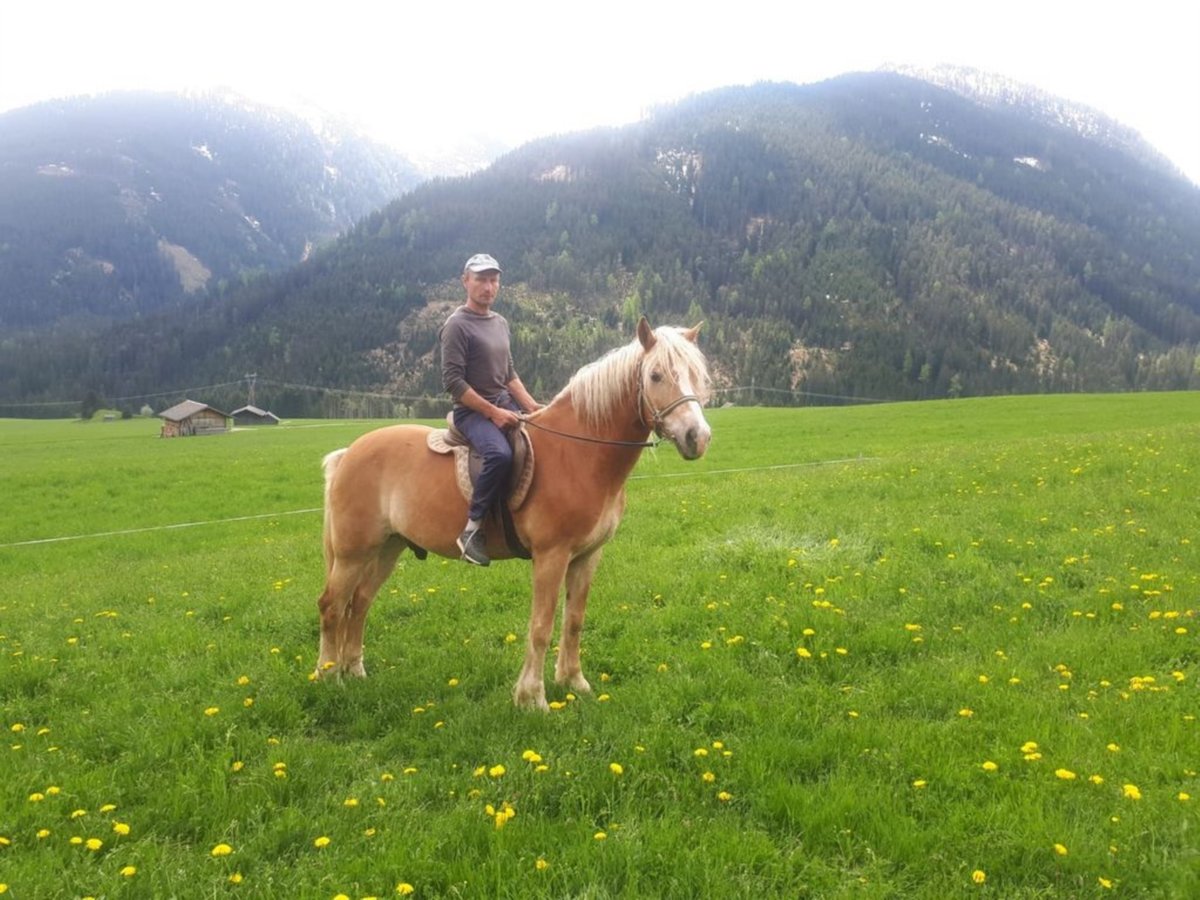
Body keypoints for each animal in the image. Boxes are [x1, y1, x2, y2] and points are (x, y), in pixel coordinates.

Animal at [316, 316, 710, 710]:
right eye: (656, 375)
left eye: (698, 375)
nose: (698, 437)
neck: (578, 453)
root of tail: (348, 453)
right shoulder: (551, 556)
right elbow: (541, 626)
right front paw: (532, 698)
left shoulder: (587, 556)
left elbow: (574, 621)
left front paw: (574, 682)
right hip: (353, 553)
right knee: (332, 606)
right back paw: (329, 677)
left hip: (388, 547)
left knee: (360, 602)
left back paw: (355, 671)